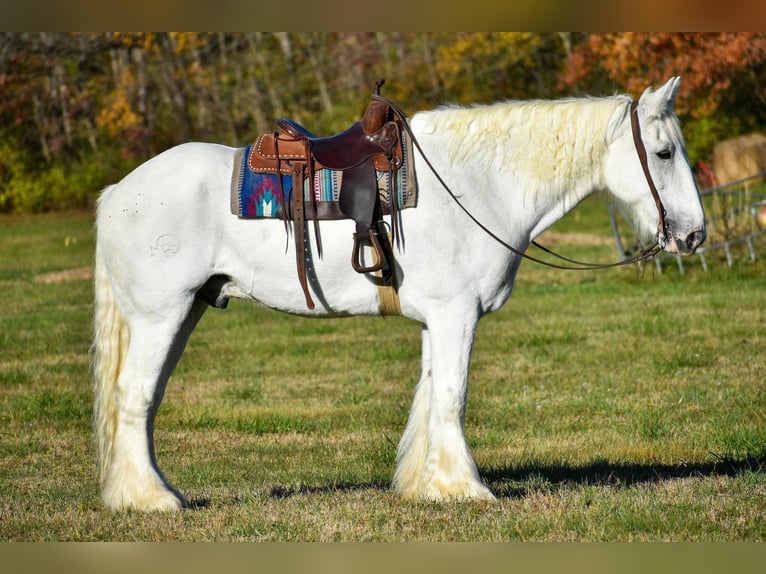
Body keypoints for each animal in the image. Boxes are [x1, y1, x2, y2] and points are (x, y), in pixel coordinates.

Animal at [91, 77, 708, 512]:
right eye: (664, 154)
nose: (694, 235)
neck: (477, 185)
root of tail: (118, 190)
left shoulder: (441, 319)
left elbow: (431, 397)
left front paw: (426, 484)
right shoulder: (457, 315)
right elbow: (452, 396)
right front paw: (465, 488)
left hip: (186, 311)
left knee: (145, 402)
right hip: (161, 315)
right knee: (134, 397)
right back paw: (151, 499)